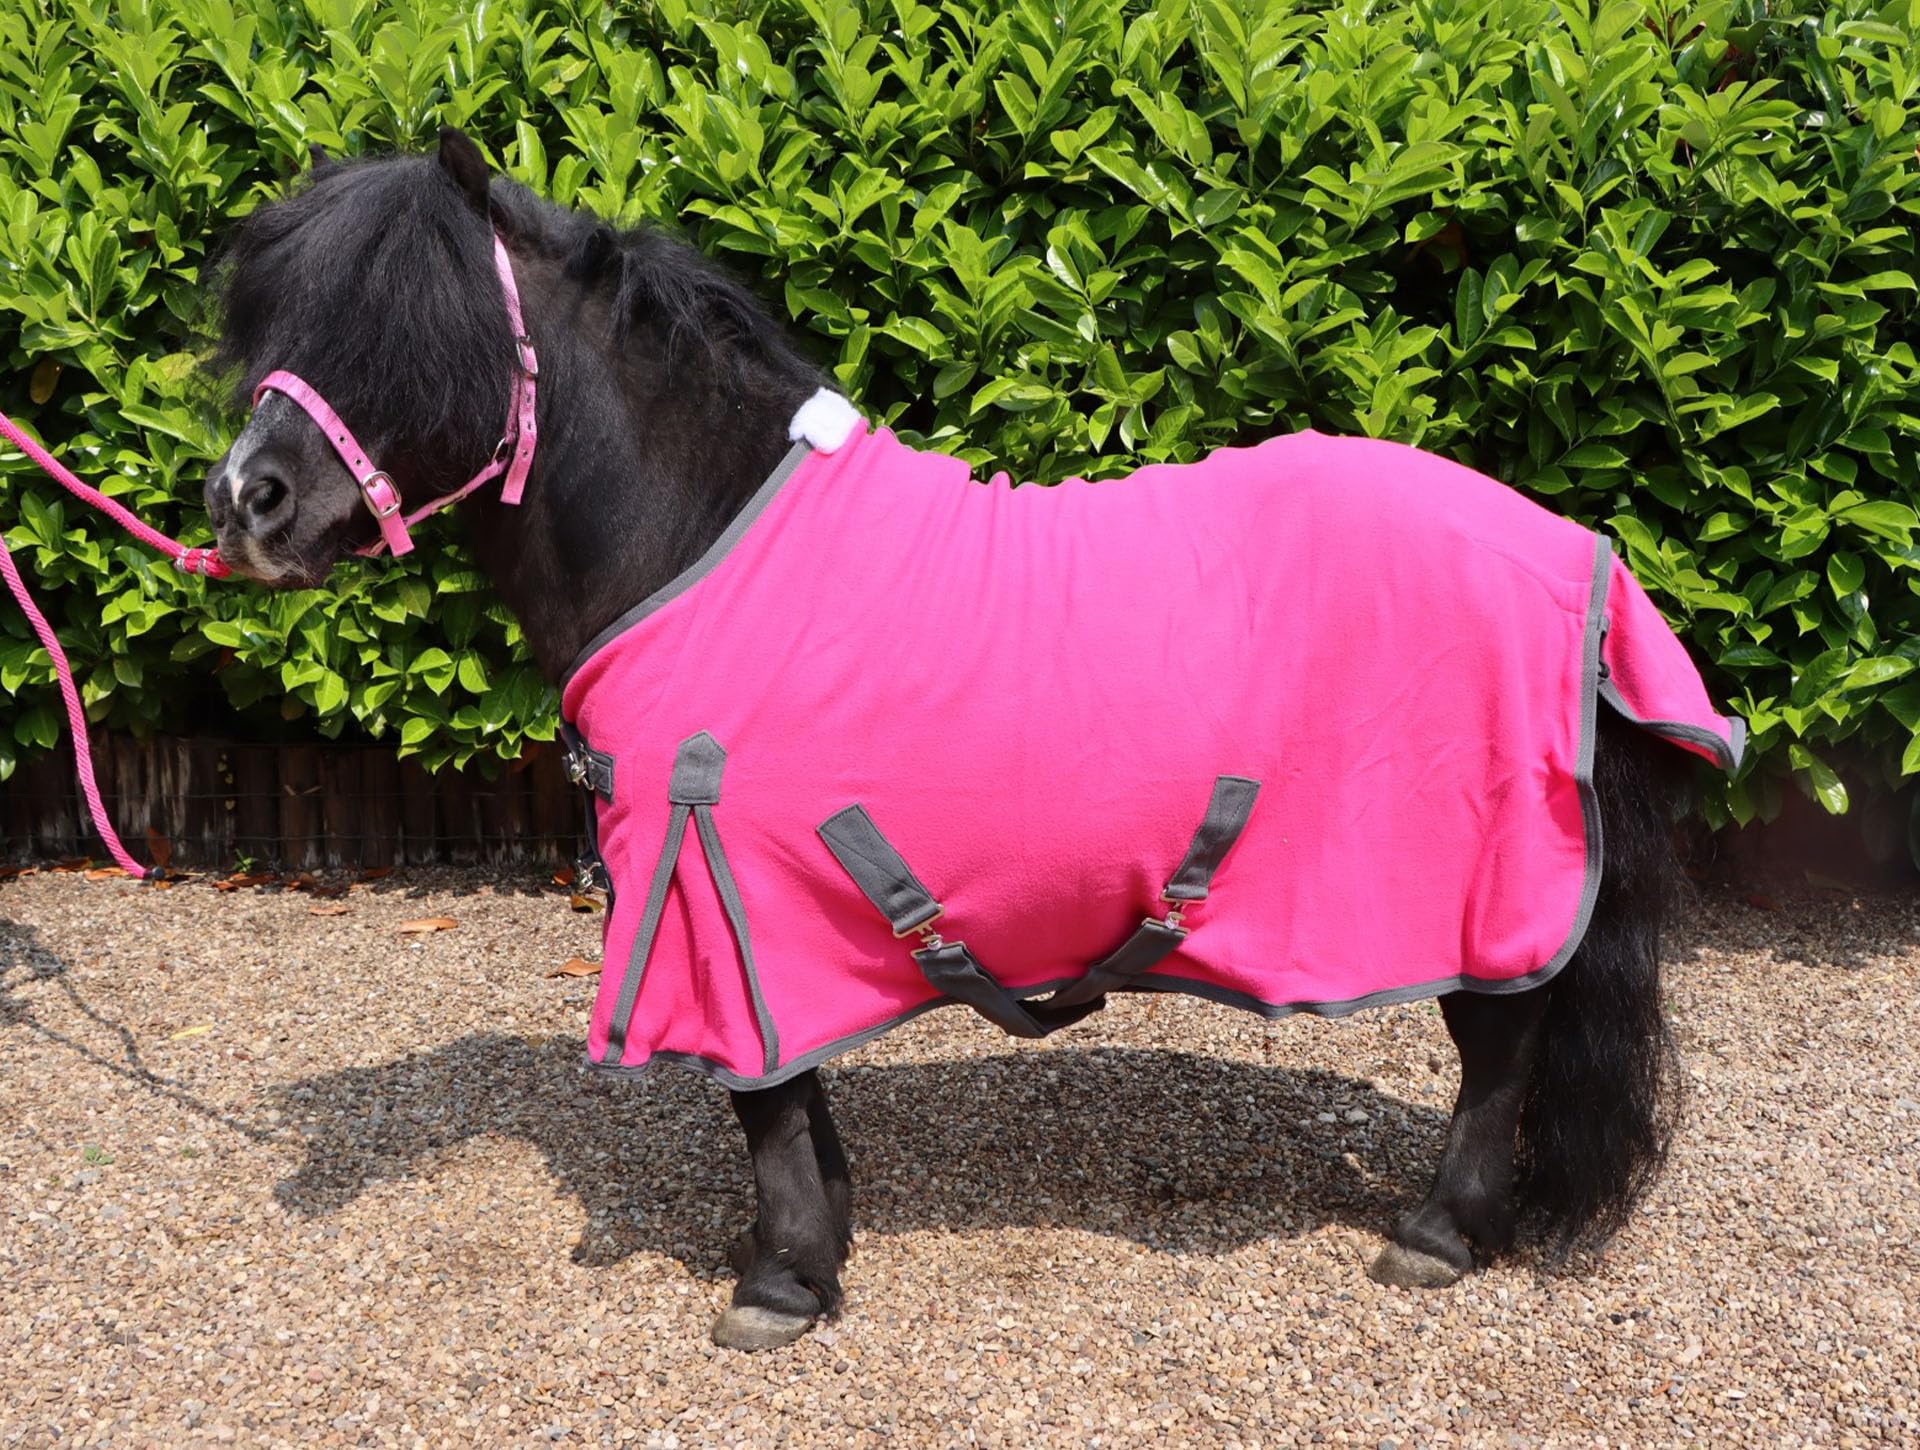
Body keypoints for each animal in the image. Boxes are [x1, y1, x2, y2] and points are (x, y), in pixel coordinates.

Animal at [199, 130, 1734, 1351]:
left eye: (416, 331)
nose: (243, 501)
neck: (702, 544)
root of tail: (1572, 550)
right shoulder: (769, 921)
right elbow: (793, 1085)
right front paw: (817, 1240)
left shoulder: (723, 893)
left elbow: (761, 1097)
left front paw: (780, 1280)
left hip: (1481, 881)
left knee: (1502, 1042)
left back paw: (1439, 1229)